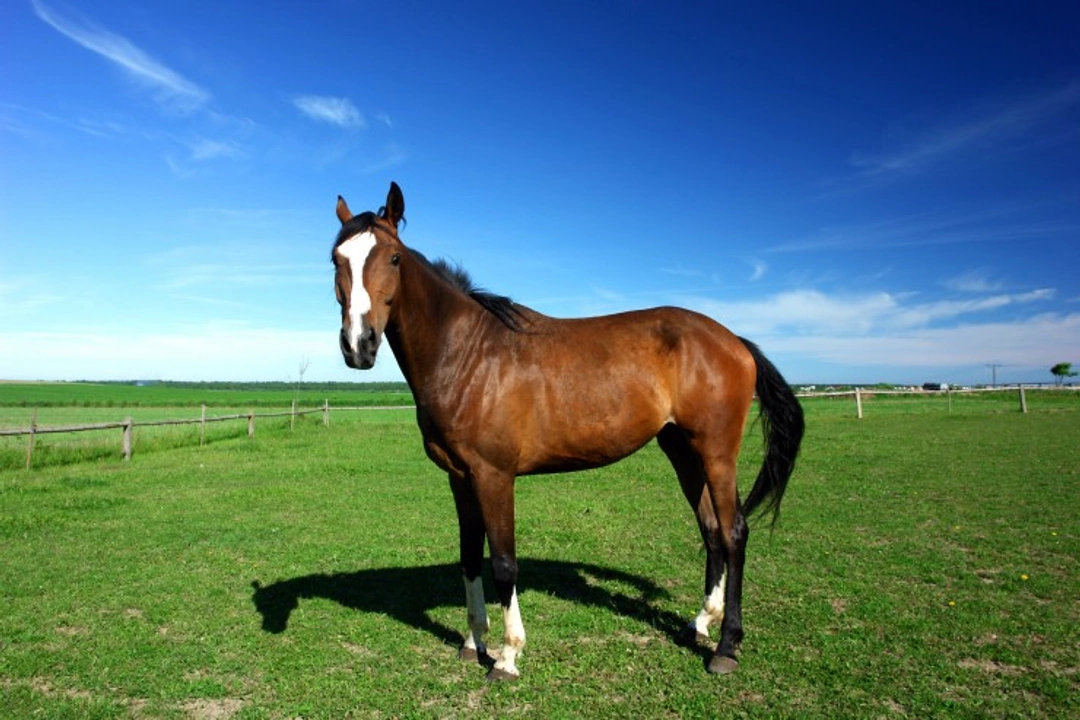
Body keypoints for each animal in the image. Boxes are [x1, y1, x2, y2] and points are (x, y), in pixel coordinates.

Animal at [330, 182, 804, 679]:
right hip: (682, 450)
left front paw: (508, 655)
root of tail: (734, 342)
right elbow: (469, 558)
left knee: (733, 532)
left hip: (716, 452)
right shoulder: (459, 478)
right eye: (336, 258)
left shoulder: (494, 477)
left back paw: (727, 646)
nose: (358, 345)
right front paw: (472, 642)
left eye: (393, 258)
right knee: (711, 530)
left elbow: (503, 563)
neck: (468, 355)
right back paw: (700, 624)